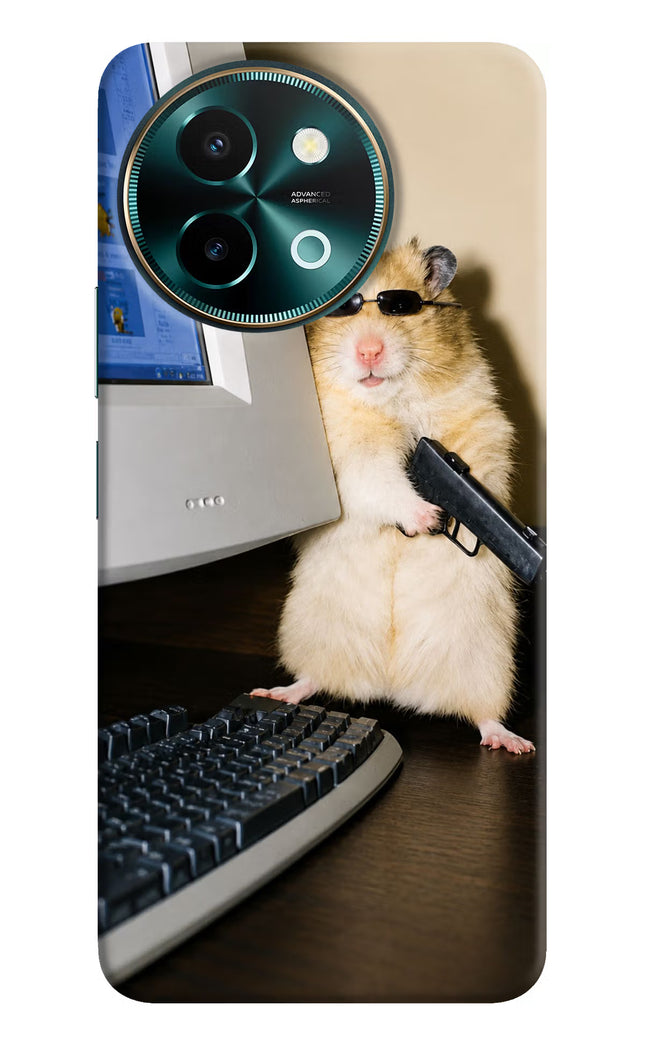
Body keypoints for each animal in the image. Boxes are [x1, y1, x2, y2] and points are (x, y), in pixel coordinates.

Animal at [252, 239, 534, 754]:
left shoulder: (481, 424)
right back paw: (276, 692)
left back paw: (512, 742)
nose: (369, 350)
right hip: (311, 632)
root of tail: (392, 685)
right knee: (312, 678)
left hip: (487, 660)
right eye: (343, 308)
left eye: (401, 307)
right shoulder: (348, 457)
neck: (390, 400)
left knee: (483, 714)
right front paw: (427, 518)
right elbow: (380, 481)